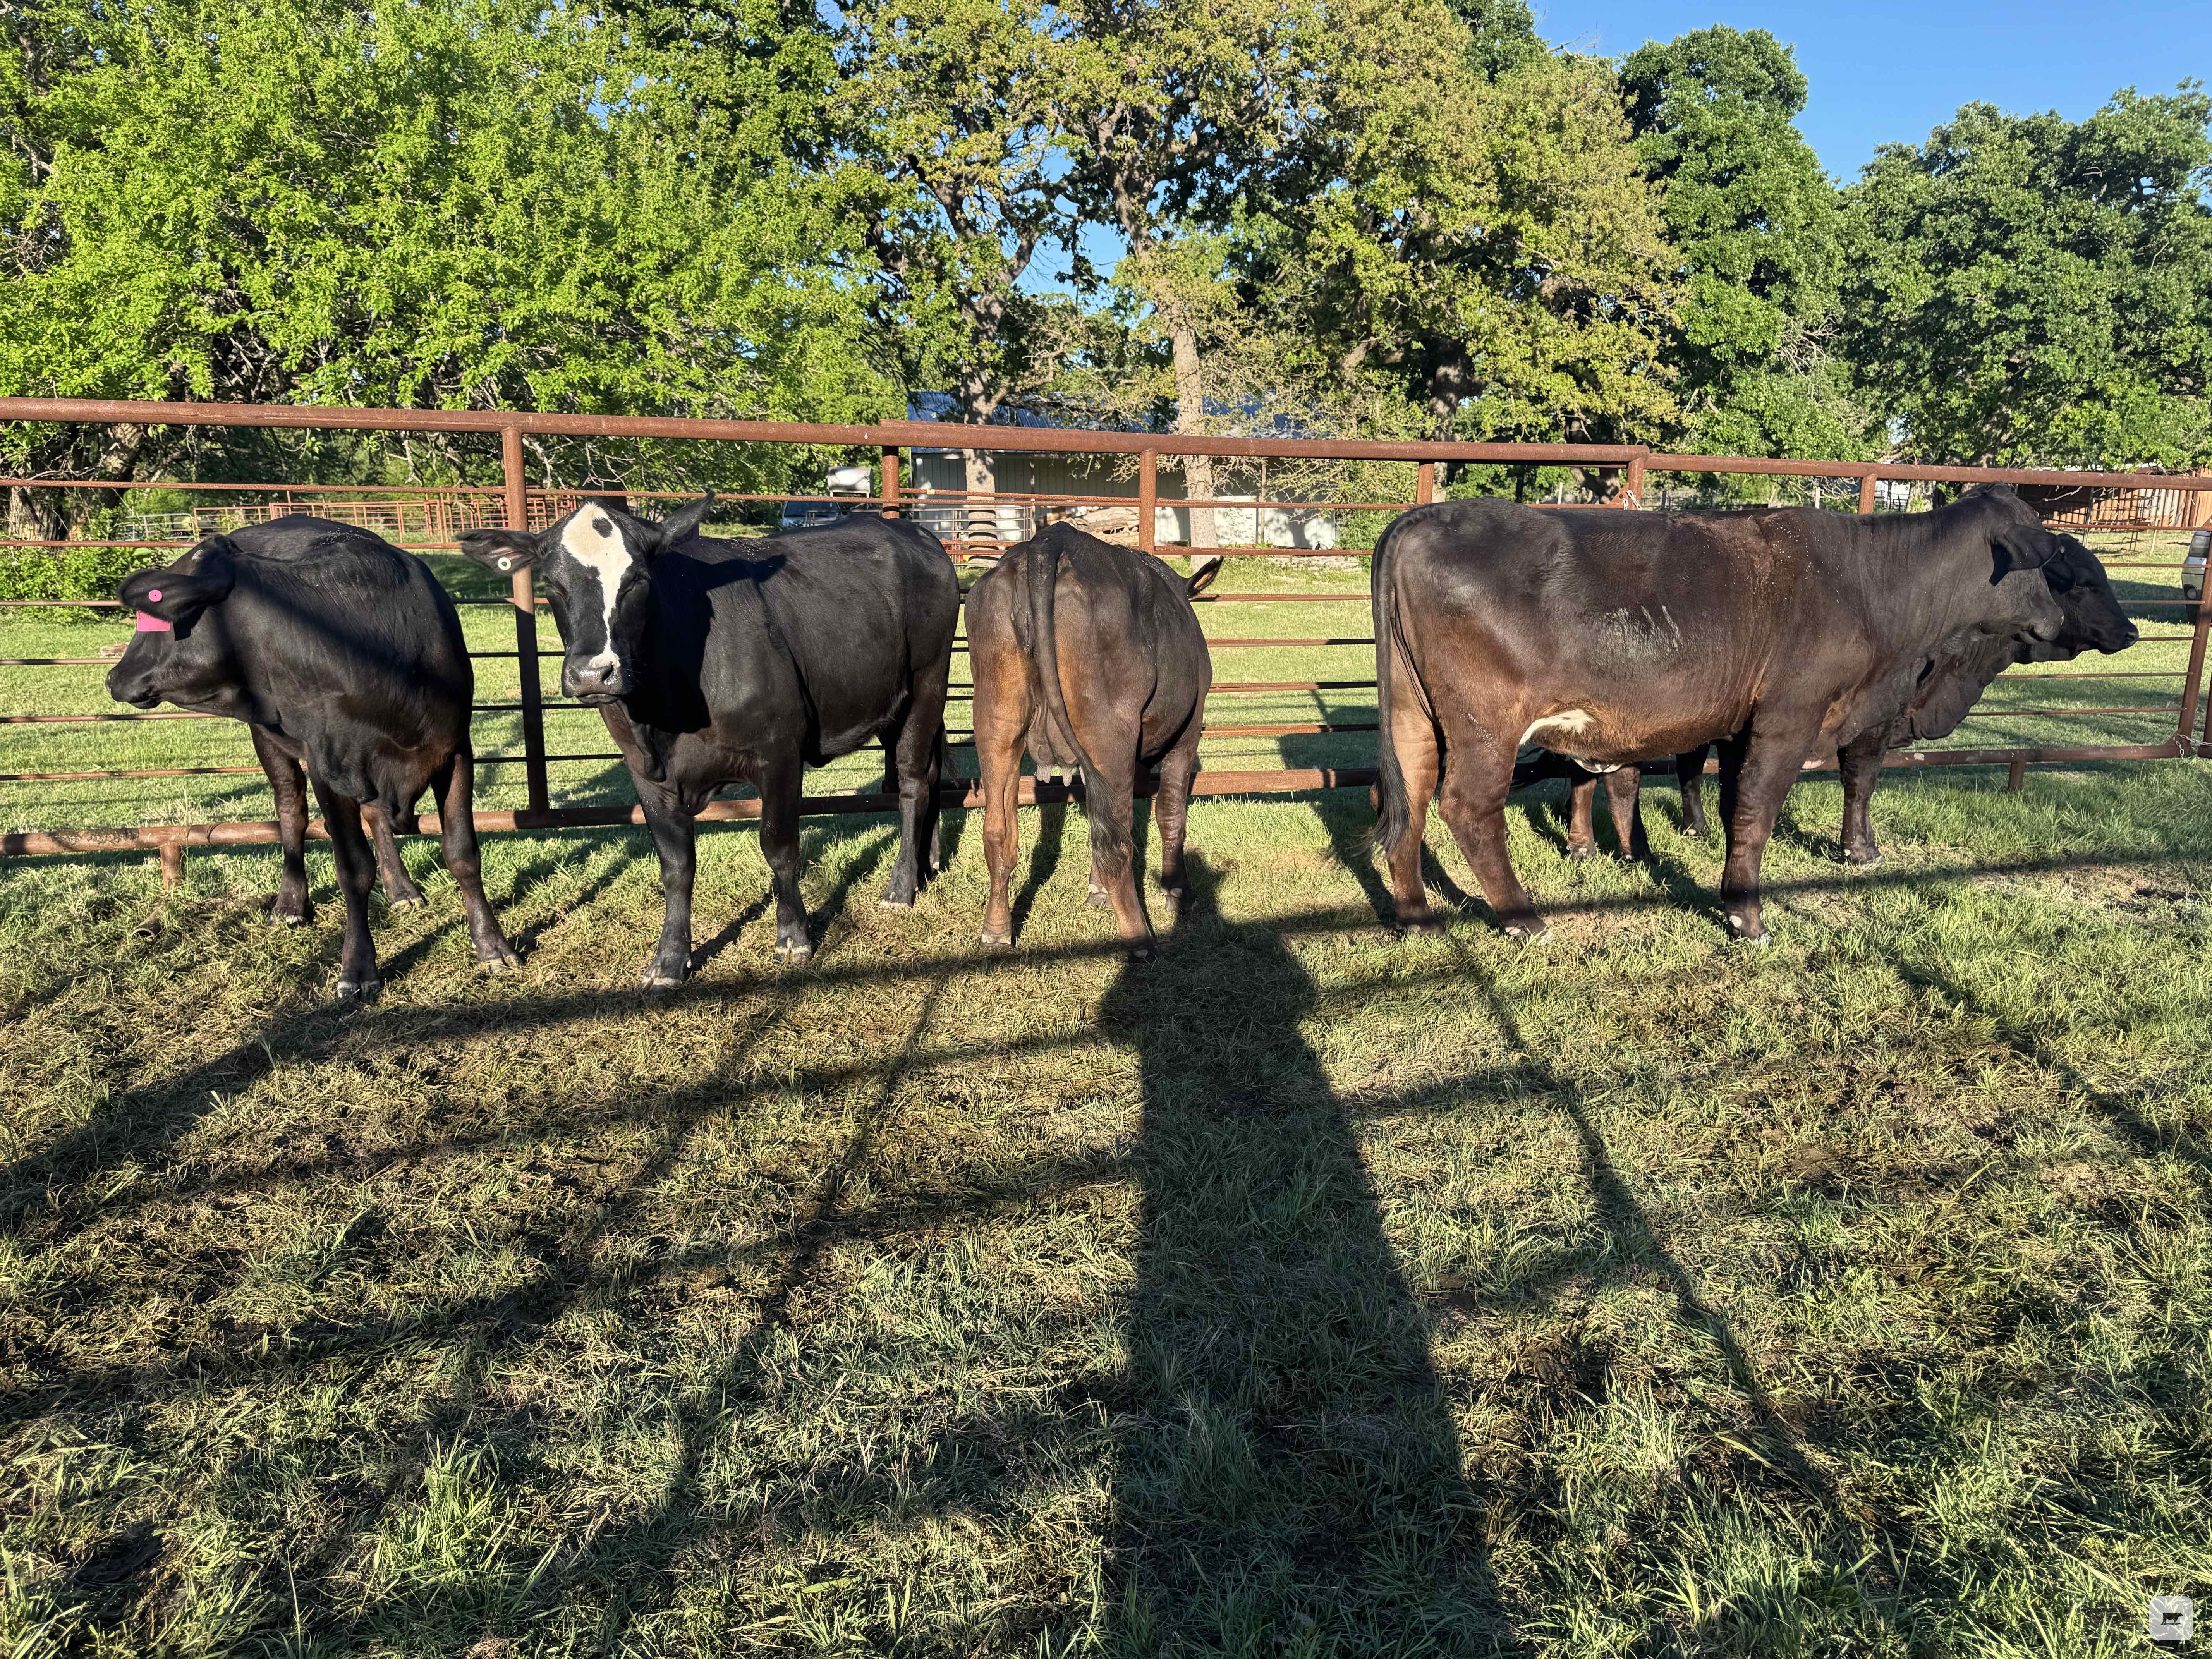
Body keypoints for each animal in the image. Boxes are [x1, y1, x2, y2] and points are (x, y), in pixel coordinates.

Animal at [106, 516, 519, 998]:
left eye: (155, 615)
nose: (115, 676)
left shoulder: (453, 750)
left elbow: (462, 854)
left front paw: (492, 946)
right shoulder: (328, 765)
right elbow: (353, 868)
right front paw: (358, 969)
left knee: (373, 816)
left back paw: (400, 888)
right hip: (270, 739)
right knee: (291, 812)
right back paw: (291, 903)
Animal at [459, 495, 959, 982]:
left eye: (637, 580)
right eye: (551, 583)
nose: (592, 674)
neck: (664, 717)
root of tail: (912, 530)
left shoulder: (779, 753)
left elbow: (779, 846)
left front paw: (793, 937)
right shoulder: (645, 774)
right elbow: (676, 865)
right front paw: (669, 959)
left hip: (926, 685)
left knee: (912, 783)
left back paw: (900, 889)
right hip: (894, 704)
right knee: (930, 772)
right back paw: (928, 864)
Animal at [966, 524, 1212, 959]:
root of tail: (1048, 543)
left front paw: (1097, 890)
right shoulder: (1188, 729)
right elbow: (1170, 814)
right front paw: (1178, 891)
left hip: (997, 718)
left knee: (999, 829)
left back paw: (996, 929)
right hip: (1108, 729)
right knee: (1114, 839)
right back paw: (1139, 937)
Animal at [1371, 485, 2071, 944]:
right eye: (2050, 565)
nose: (2059, 622)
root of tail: (1427, 516)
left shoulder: (1742, 728)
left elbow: (1736, 803)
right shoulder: (1790, 717)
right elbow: (1757, 813)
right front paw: (1747, 917)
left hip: (1412, 716)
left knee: (1407, 801)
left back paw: (1418, 919)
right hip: (1486, 726)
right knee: (1466, 807)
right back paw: (1522, 917)